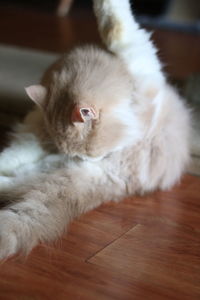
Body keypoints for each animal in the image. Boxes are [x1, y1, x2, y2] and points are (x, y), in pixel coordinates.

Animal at [0, 0, 191, 258]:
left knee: (16, 181)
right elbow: (115, 26)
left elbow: (116, 28)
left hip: (56, 173)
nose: (80, 159)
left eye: (87, 153)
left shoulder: (141, 65)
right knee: (15, 166)